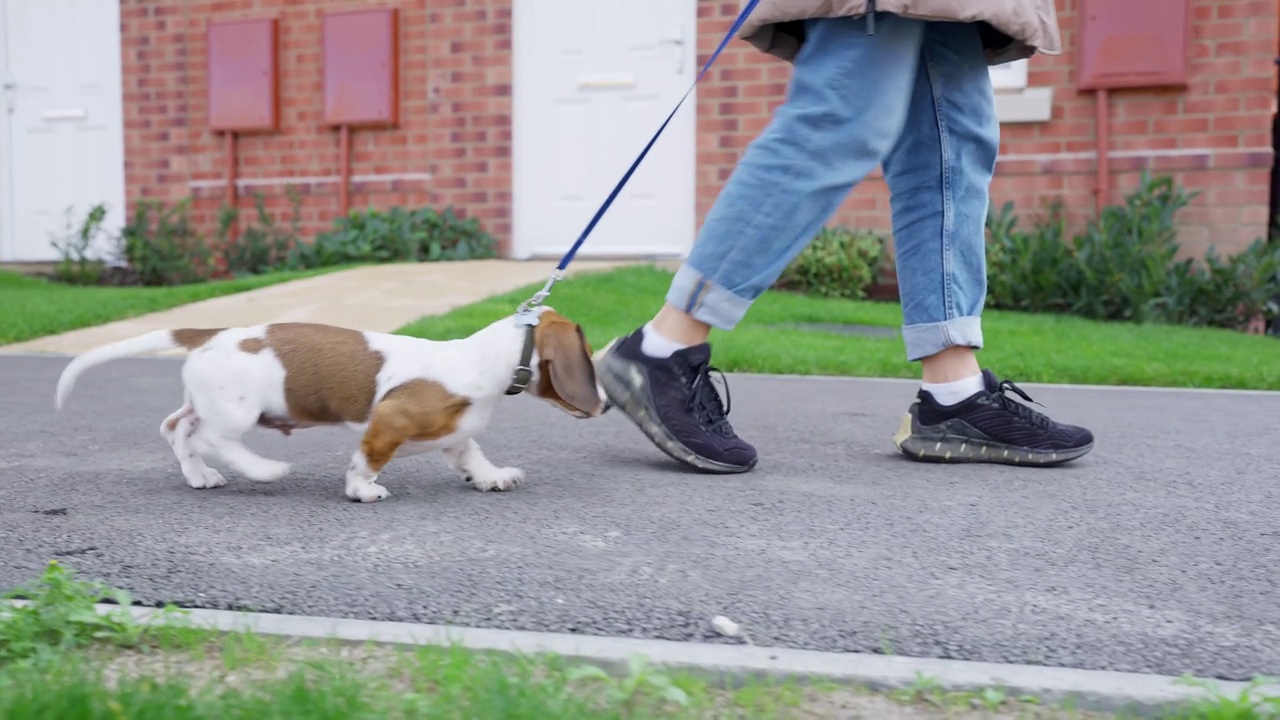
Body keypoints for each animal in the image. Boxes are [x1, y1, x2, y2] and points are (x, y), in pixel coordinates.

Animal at [52, 304, 606, 502]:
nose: (604, 404)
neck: (481, 359)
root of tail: (214, 333)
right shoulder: (389, 421)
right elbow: (368, 459)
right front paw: (361, 490)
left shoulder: (454, 432)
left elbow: (471, 455)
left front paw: (492, 478)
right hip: (235, 412)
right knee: (212, 437)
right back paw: (263, 470)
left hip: (206, 401)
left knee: (177, 428)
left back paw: (200, 476)